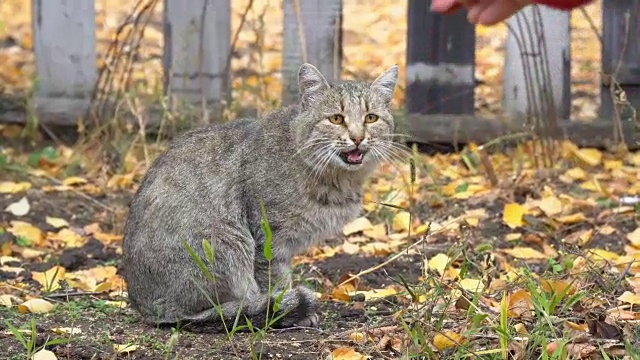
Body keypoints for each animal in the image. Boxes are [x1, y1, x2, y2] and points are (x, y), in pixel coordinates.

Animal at [122, 62, 398, 330]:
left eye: (371, 118)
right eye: (336, 118)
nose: (358, 138)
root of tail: (146, 307)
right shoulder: (269, 235)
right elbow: (275, 280)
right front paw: (284, 309)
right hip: (226, 240)